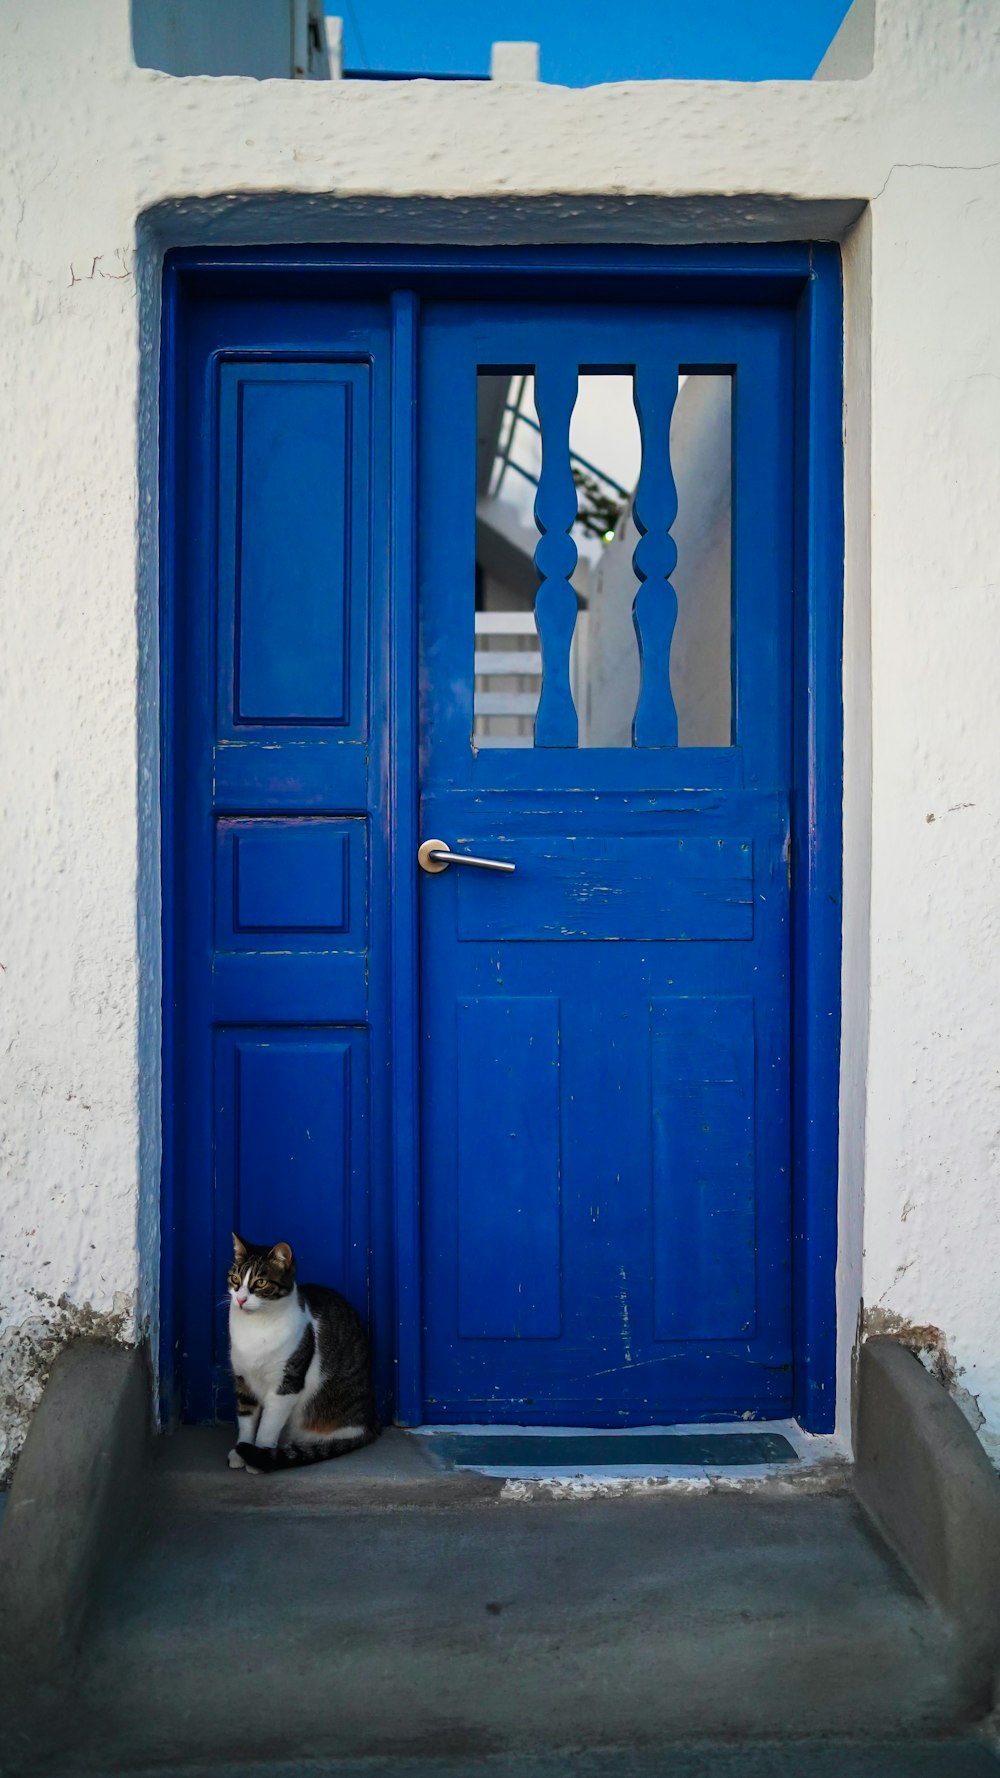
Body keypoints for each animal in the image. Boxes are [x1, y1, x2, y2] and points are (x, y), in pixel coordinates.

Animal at [225, 1237, 377, 1472]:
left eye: (261, 1283)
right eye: (234, 1279)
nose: (240, 1300)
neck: (256, 1328)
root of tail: (369, 1424)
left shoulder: (287, 1383)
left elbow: (268, 1426)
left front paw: (259, 1456)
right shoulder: (243, 1380)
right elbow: (247, 1420)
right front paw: (240, 1451)